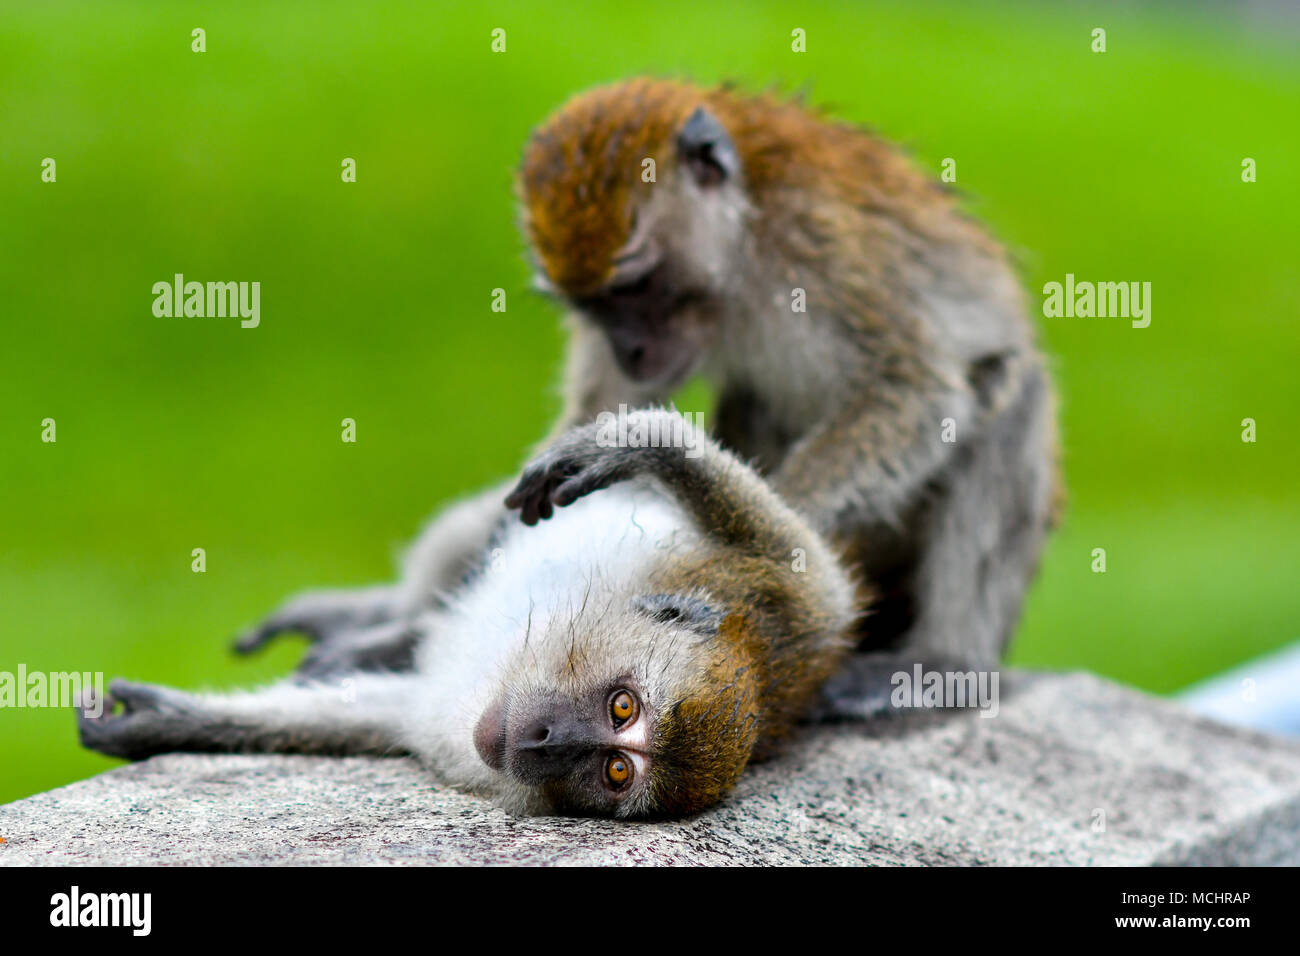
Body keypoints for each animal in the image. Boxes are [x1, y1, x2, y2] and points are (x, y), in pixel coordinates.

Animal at [78, 408, 852, 816]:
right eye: (624, 707)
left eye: (614, 771)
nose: (543, 742)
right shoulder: (776, 607)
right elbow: (815, 577)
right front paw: (640, 442)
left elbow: (382, 714)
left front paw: (168, 721)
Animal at [228, 80, 1060, 712]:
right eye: (591, 306)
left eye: (635, 285)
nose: (629, 349)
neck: (743, 248)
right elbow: (572, 437)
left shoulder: (824, 243)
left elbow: (912, 395)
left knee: (1008, 393)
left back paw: (948, 663)